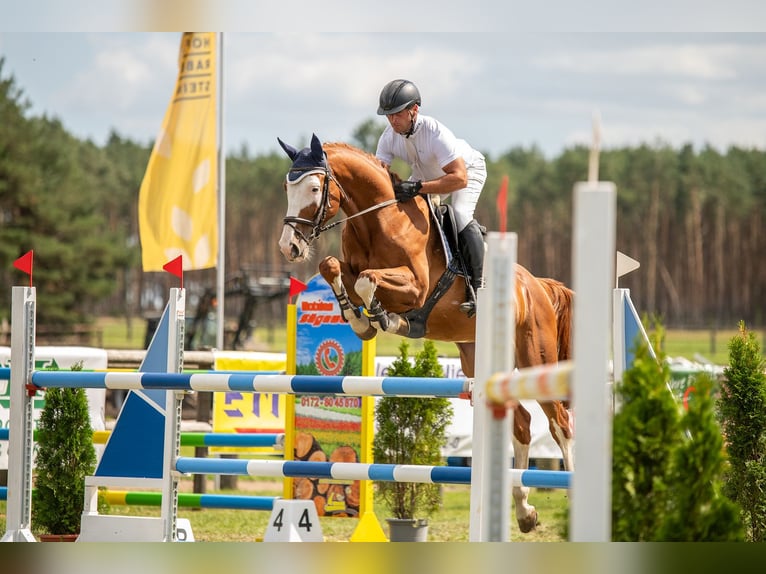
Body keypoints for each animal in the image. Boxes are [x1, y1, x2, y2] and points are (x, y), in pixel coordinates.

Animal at [277, 133, 574, 533]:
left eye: (312, 188)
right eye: (286, 187)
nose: (289, 247)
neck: (378, 221)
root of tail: (537, 285)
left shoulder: (416, 286)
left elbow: (369, 281)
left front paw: (388, 320)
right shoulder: (349, 267)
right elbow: (332, 267)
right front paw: (360, 320)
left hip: (535, 358)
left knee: (559, 423)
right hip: (477, 357)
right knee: (524, 425)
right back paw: (524, 512)